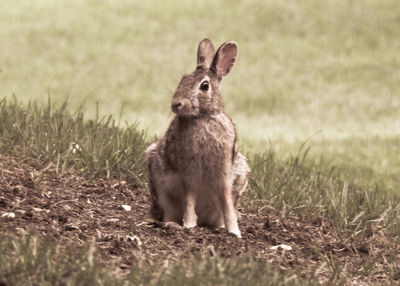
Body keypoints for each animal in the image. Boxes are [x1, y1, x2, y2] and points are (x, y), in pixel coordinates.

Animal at [145, 38, 248, 237]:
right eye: (182, 79)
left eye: (204, 86)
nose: (176, 104)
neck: (202, 116)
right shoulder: (189, 170)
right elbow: (190, 197)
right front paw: (190, 225)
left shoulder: (224, 171)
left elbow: (226, 202)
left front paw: (235, 232)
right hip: (159, 180)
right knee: (168, 209)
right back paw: (172, 225)